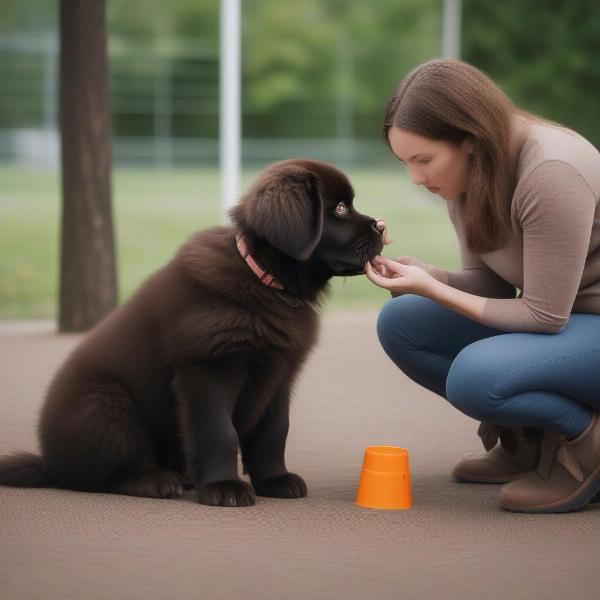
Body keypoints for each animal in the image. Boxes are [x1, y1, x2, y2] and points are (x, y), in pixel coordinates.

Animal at [0, 159, 384, 506]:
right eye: (339, 207)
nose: (381, 226)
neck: (265, 281)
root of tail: (50, 461)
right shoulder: (207, 371)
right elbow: (219, 433)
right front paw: (223, 488)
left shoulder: (279, 376)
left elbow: (273, 432)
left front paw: (275, 480)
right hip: (104, 404)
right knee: (98, 475)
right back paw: (156, 481)